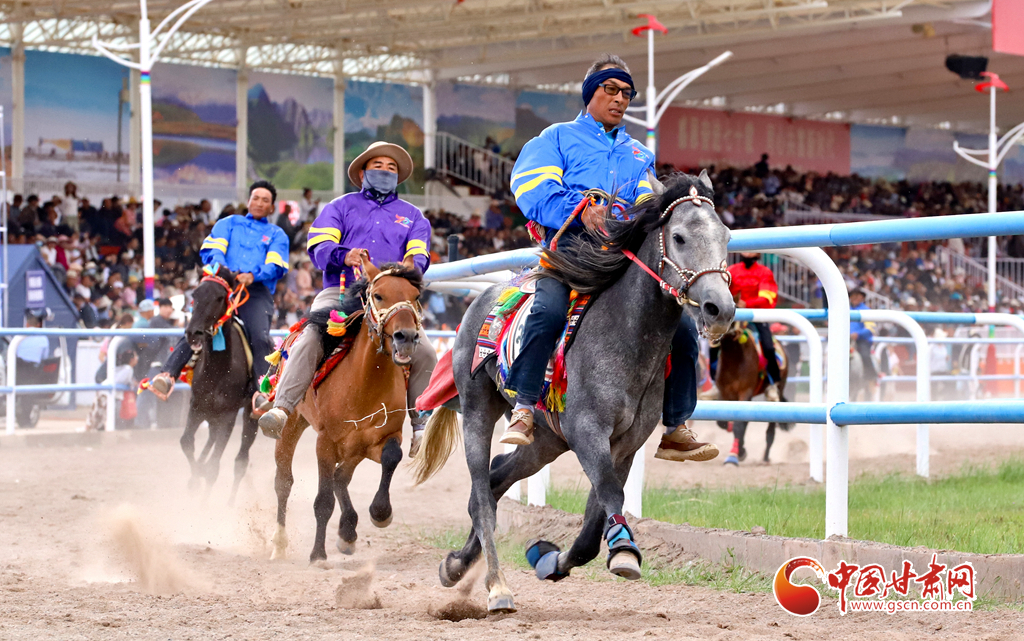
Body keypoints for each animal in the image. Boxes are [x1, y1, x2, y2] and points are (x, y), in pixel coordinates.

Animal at [178, 267, 259, 502]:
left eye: (220, 297)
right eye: (194, 295)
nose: (193, 332)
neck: (217, 370)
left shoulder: (228, 415)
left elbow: (214, 468)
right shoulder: (197, 406)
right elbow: (186, 442)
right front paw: (195, 479)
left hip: (249, 414)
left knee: (241, 461)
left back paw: (230, 504)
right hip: (210, 413)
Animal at [269, 256, 422, 562]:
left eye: (415, 297)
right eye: (379, 295)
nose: (406, 337)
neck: (364, 383)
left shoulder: (383, 437)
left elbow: (391, 457)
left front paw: (380, 513)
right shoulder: (325, 443)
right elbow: (323, 500)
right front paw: (318, 555)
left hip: (354, 446)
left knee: (342, 477)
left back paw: (348, 532)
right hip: (293, 423)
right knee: (284, 481)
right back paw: (279, 543)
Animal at [412, 171, 735, 614]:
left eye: (726, 235)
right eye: (680, 237)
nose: (720, 308)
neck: (624, 335)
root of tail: (482, 299)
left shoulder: (624, 444)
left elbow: (593, 525)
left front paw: (551, 559)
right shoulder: (587, 431)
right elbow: (610, 493)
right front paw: (624, 550)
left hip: (545, 441)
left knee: (495, 481)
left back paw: (457, 565)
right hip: (479, 410)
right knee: (481, 495)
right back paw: (497, 587)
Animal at [713, 322, 791, 465]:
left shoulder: (745, 392)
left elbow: (739, 425)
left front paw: (736, 454)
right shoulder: (725, 394)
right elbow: (722, 422)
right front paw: (740, 449)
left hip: (778, 389)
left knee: (770, 430)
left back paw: (765, 457)